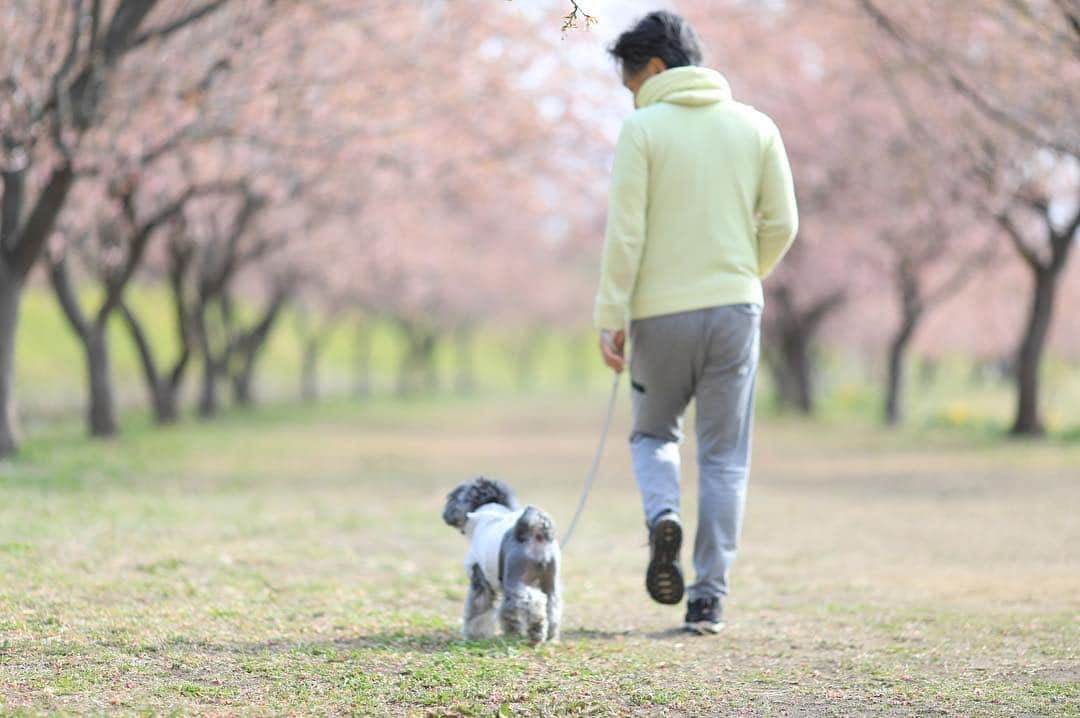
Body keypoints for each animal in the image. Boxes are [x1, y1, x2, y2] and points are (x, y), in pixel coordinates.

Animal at [442, 475, 561, 643]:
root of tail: (535, 532)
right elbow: (506, 613)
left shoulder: (480, 581)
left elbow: (477, 610)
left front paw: (474, 635)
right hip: (549, 583)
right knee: (552, 607)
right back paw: (550, 635)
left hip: (515, 582)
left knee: (533, 602)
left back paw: (536, 630)